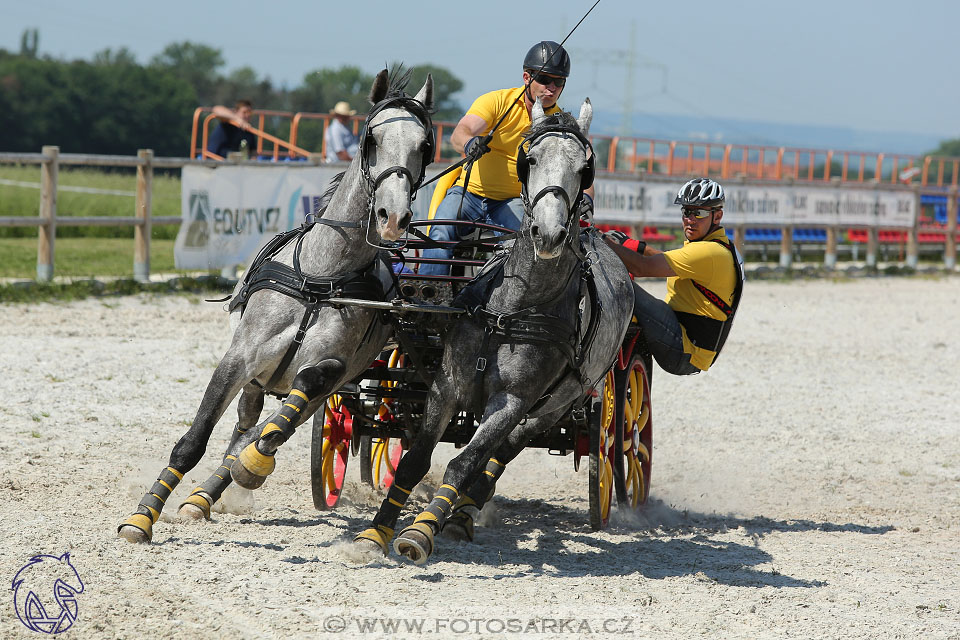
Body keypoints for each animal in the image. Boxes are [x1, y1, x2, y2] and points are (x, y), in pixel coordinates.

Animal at [119, 70, 436, 544]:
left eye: (424, 145)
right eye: (371, 139)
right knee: (242, 426)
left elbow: (286, 413)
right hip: (256, 380)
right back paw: (201, 498)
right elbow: (194, 441)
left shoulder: (333, 369)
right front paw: (143, 517)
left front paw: (254, 465)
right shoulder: (239, 358)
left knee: (262, 430)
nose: (392, 217)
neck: (320, 278)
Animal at [352, 97, 636, 564]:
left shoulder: (512, 402)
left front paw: (420, 531)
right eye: (530, 159)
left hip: (559, 403)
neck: (512, 308)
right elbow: (415, 459)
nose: (550, 233)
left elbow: (465, 463)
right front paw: (375, 533)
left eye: (585, 168)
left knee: (499, 456)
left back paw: (462, 514)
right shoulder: (447, 384)